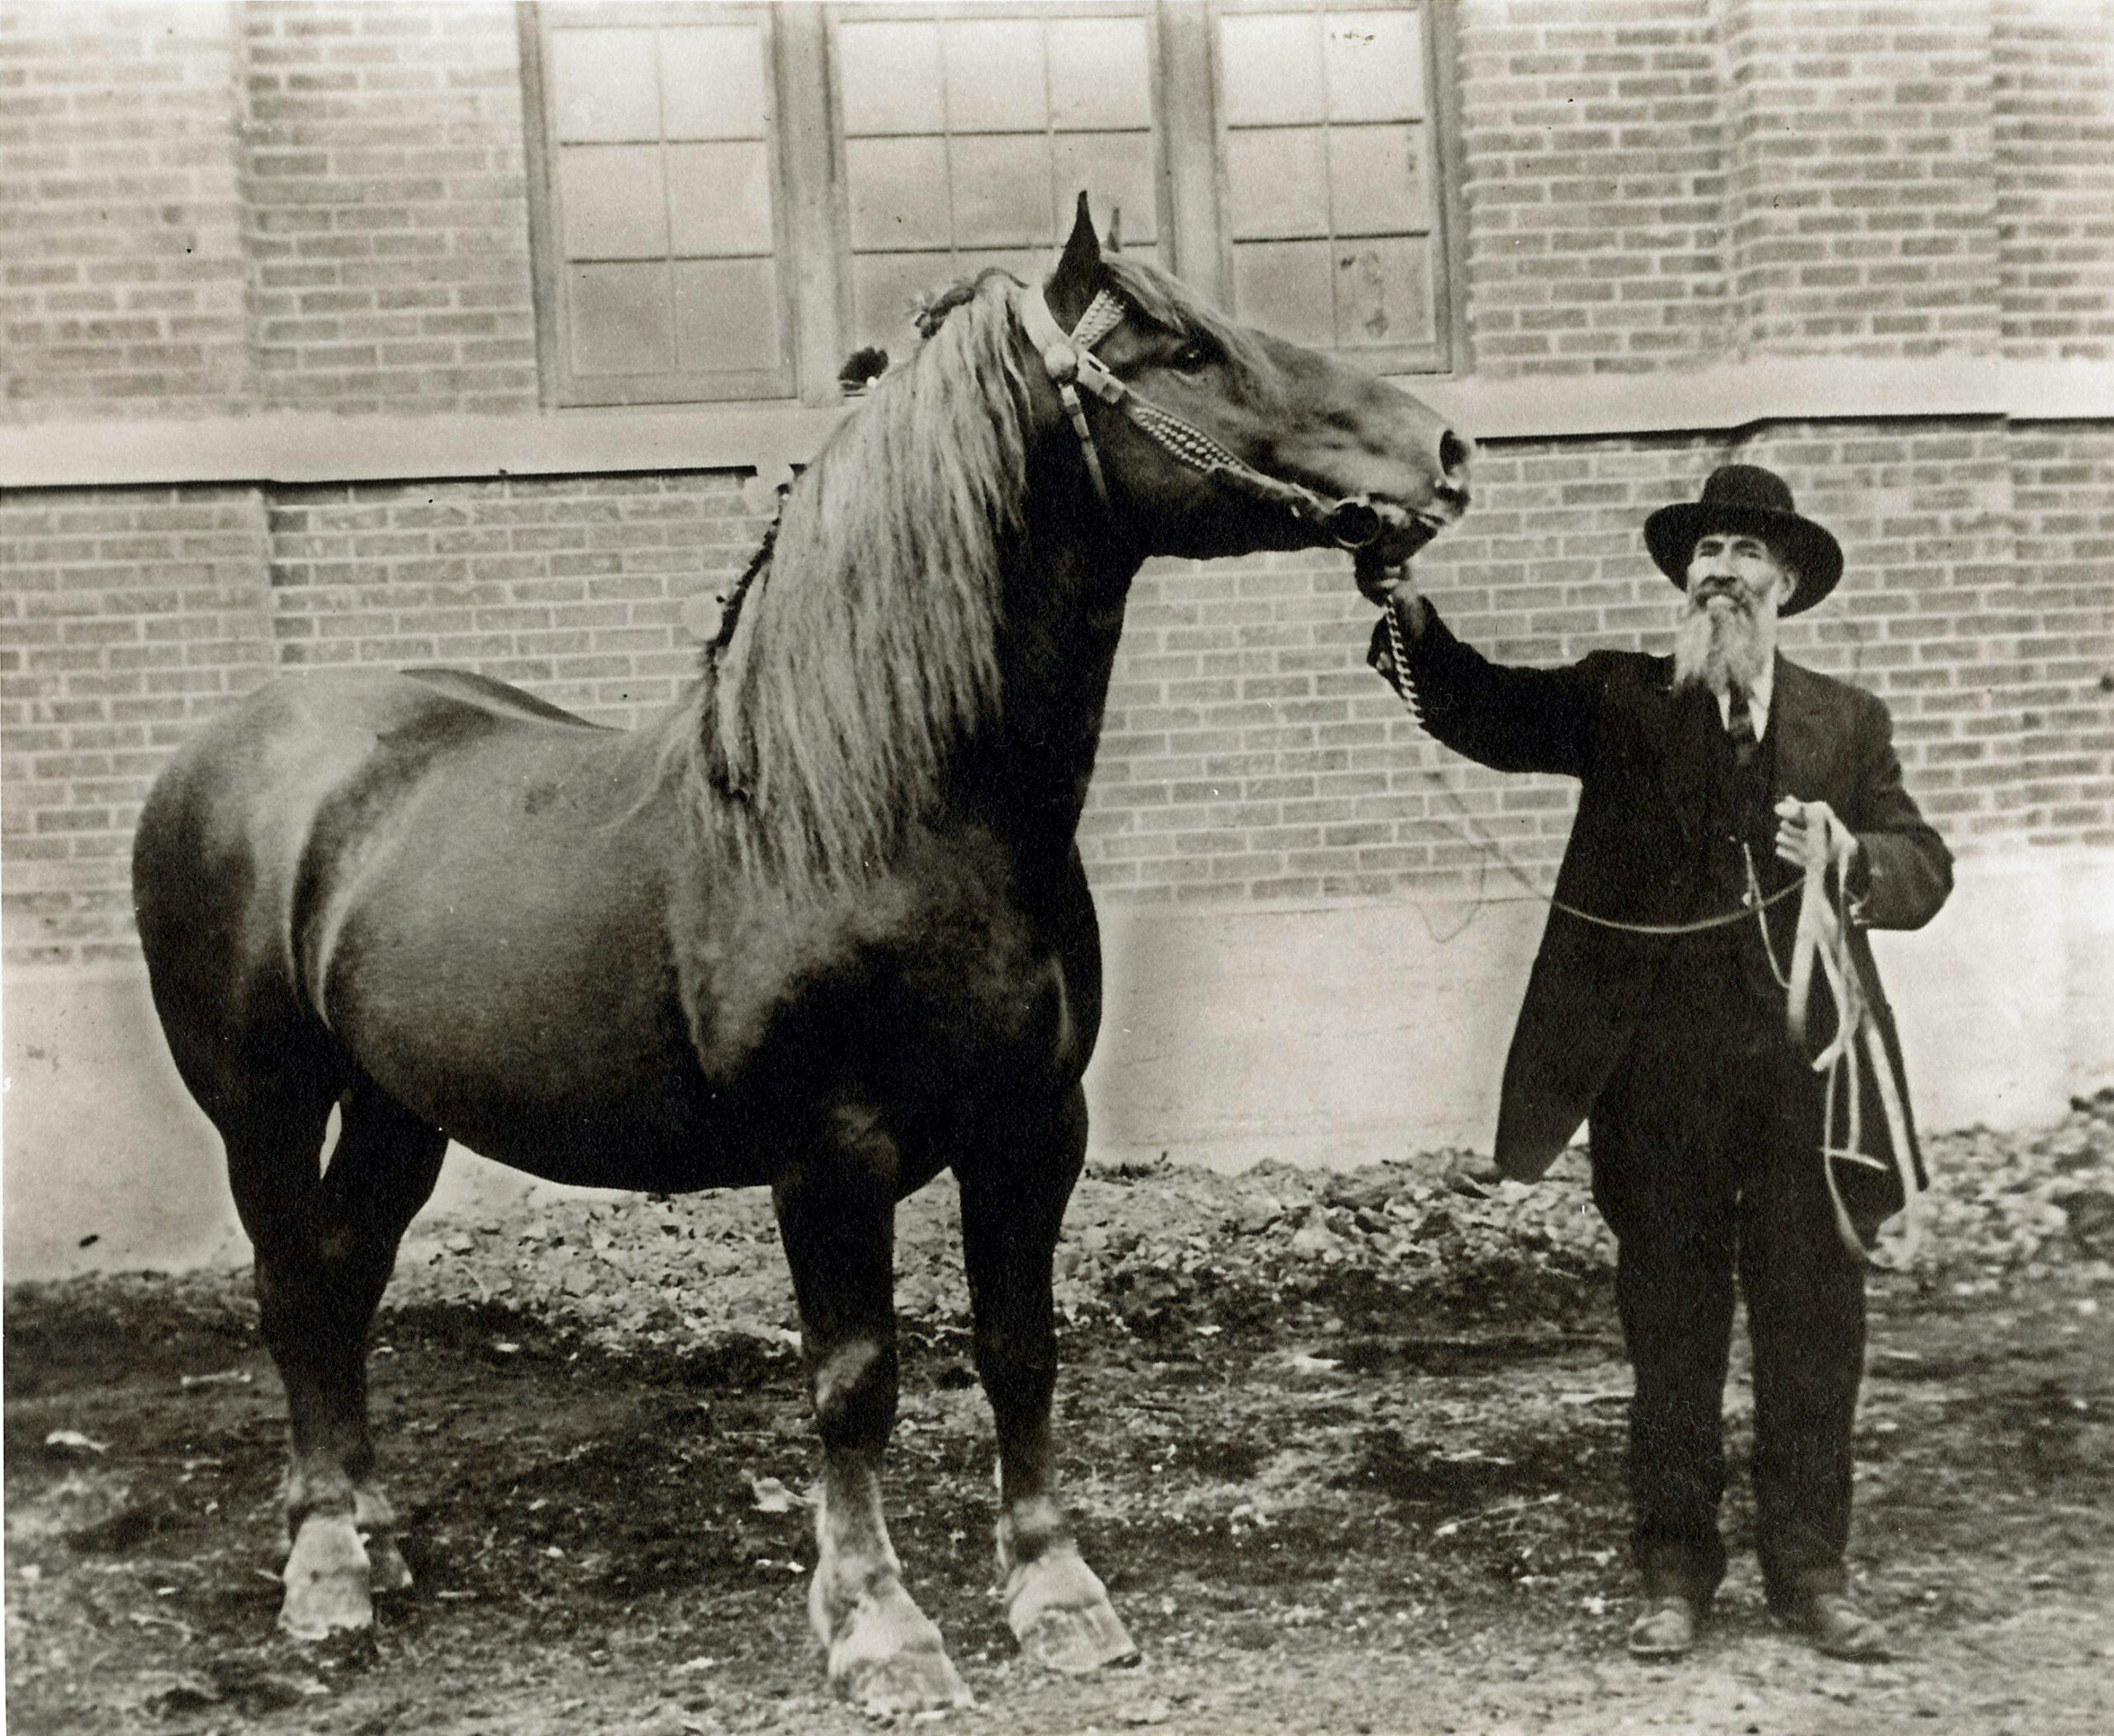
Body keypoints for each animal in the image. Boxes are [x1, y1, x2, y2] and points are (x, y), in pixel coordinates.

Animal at [131, 198, 1471, 1713]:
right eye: (1186, 350)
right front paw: (882, 1626)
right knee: (293, 1285)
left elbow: (1020, 1347)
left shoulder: (1034, 1127)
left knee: (348, 1271)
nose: (1443, 451)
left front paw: (1058, 1592)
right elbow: (855, 1382)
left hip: (397, 1104)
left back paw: (374, 1531)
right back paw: (325, 1571)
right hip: (262, 1103)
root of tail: (227, 747)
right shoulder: (830, 1153)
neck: (880, 805)